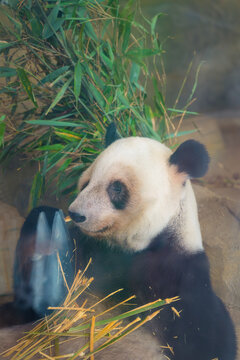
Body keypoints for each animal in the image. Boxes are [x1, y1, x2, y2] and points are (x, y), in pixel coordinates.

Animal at [0, 125, 236, 358]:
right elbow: (32, 305)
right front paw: (46, 234)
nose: (75, 214)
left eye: (116, 187)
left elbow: (208, 339)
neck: (123, 247)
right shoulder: (87, 248)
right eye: (86, 182)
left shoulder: (180, 270)